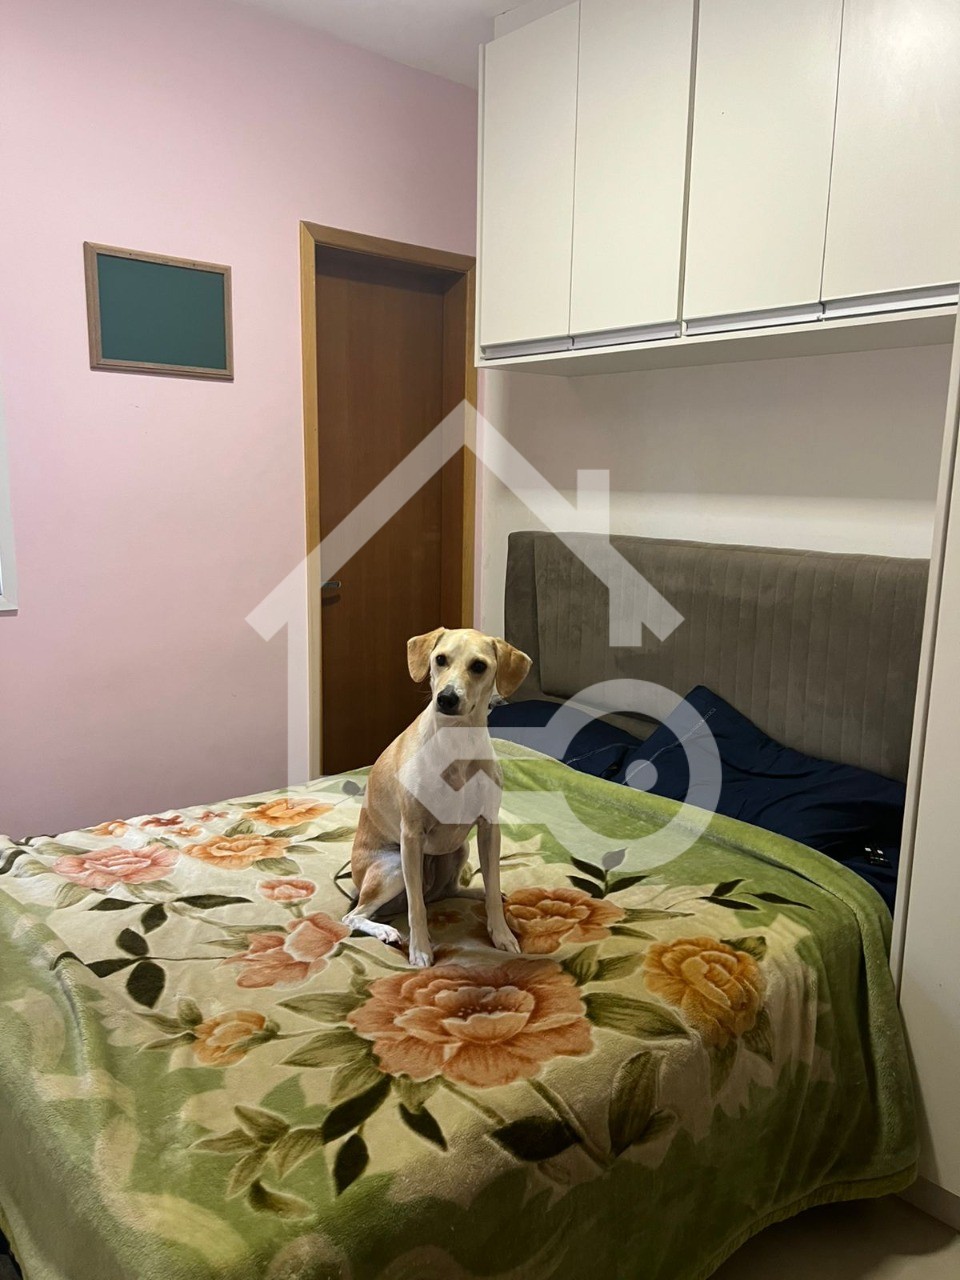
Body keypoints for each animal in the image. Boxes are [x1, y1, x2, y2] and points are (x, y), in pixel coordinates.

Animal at [343, 626, 532, 967]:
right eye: (440, 659)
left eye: (479, 666)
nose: (446, 698)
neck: (457, 745)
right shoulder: (411, 835)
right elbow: (416, 907)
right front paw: (420, 950)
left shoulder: (489, 827)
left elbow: (494, 879)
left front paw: (501, 934)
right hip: (393, 867)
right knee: (356, 915)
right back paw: (386, 930)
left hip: (459, 849)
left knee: (448, 891)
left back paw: (478, 893)